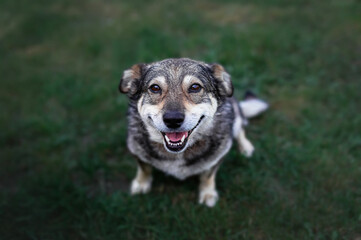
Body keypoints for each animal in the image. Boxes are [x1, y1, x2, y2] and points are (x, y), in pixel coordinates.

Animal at [119, 57, 268, 206]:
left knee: (240, 126)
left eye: (195, 87)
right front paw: (141, 183)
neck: (177, 154)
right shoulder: (136, 150)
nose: (173, 120)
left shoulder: (217, 157)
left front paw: (208, 193)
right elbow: (144, 168)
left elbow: (208, 176)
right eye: (155, 88)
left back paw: (246, 147)